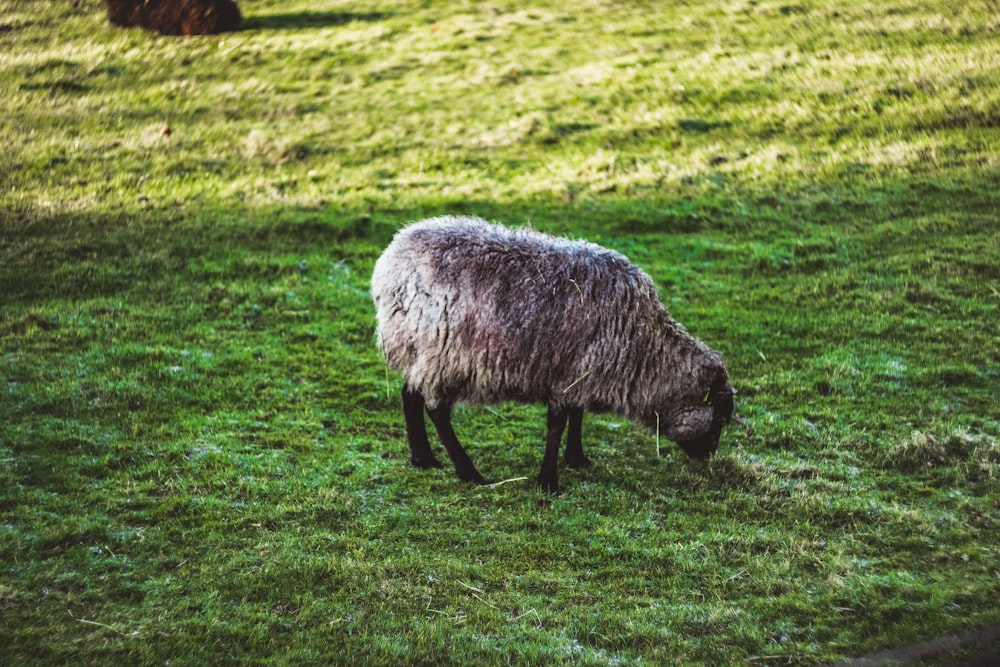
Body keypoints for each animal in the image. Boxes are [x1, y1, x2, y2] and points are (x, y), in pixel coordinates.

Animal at [372, 217, 748, 494]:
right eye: (718, 417)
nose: (708, 456)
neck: (646, 351)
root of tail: (390, 260)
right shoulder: (571, 370)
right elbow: (558, 420)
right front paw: (548, 482)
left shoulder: (579, 371)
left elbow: (576, 414)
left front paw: (576, 458)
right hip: (442, 354)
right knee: (436, 409)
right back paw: (469, 472)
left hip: (413, 347)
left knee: (409, 393)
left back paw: (422, 458)